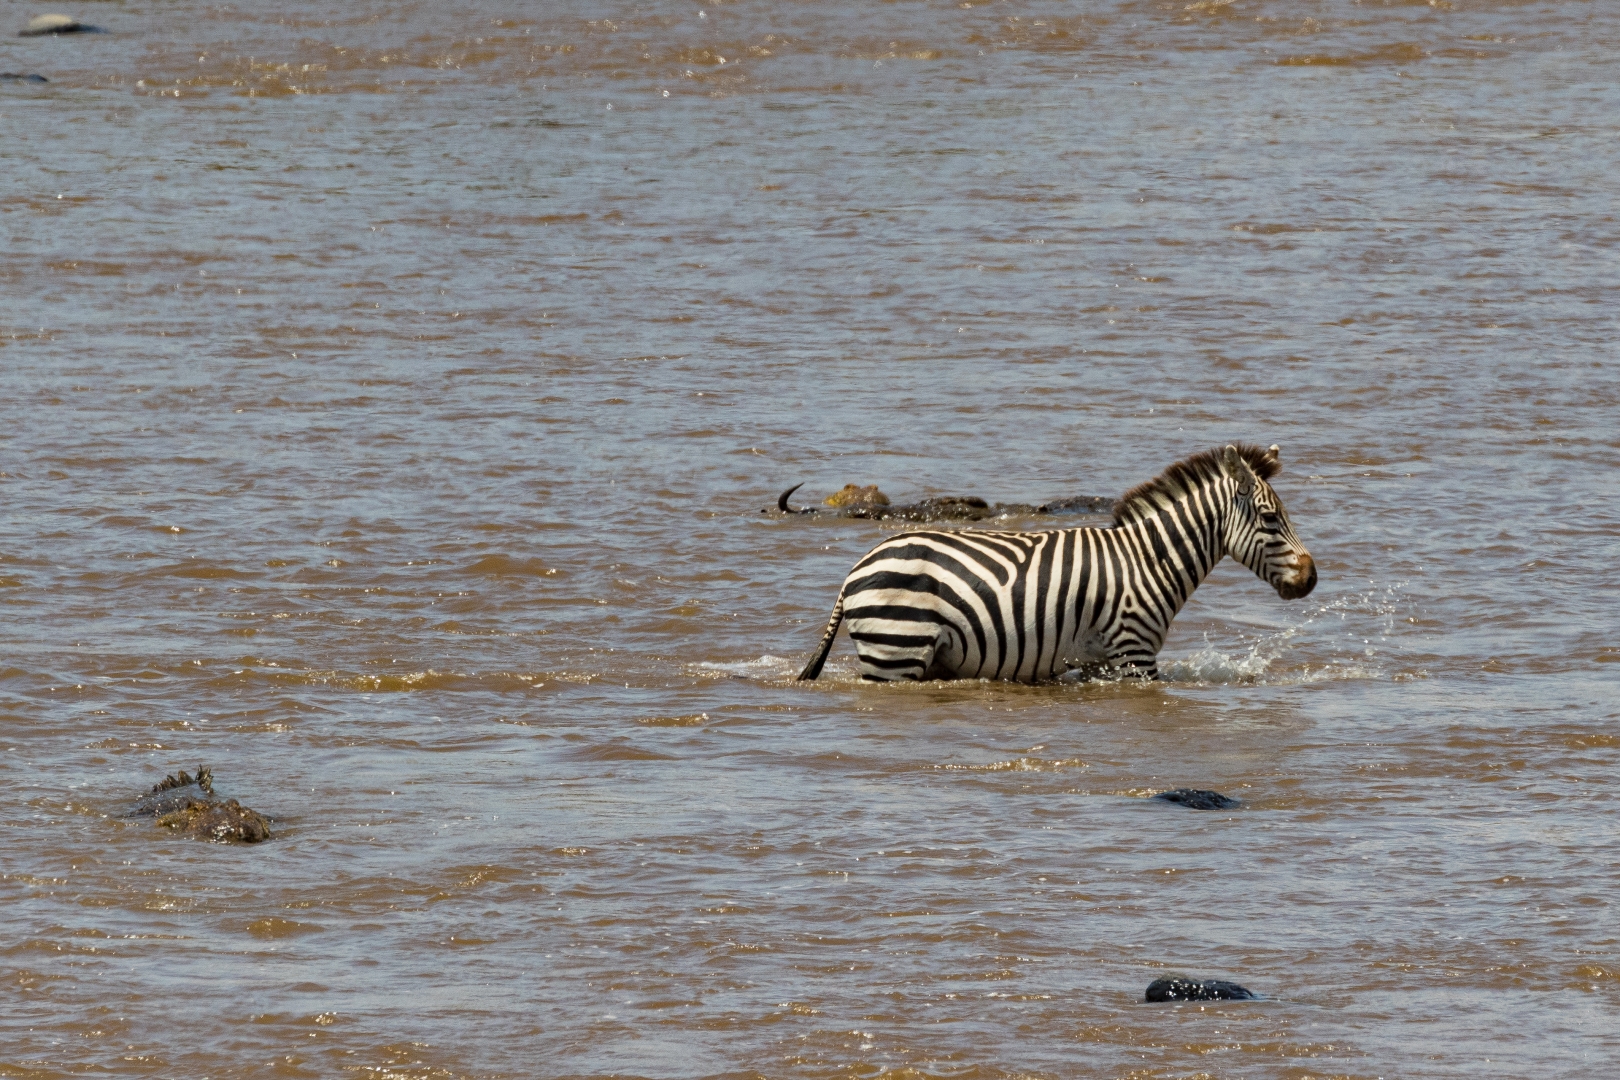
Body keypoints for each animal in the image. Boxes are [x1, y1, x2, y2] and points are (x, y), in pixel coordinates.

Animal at [797, 446, 1315, 683]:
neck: (1148, 560)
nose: (1311, 578)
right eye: (1271, 518)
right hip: (896, 650)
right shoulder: (1134, 654)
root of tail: (855, 571)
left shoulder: (1099, 663)